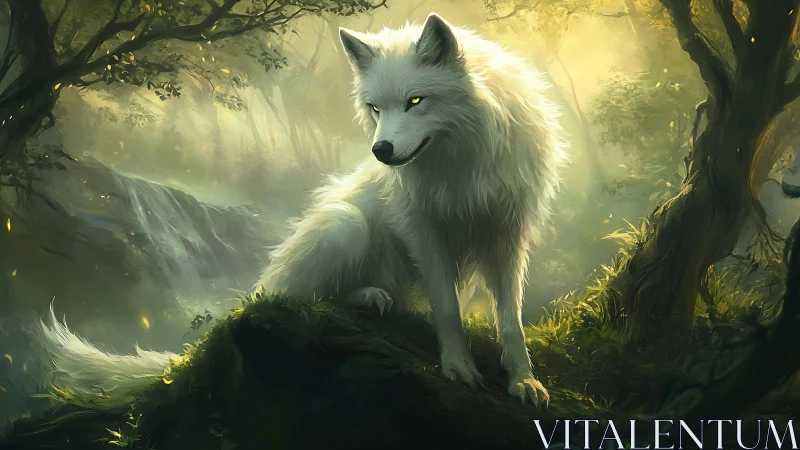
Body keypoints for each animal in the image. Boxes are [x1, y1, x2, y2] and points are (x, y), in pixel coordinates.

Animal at [258, 13, 568, 406]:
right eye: (375, 107)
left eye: (415, 100)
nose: (380, 151)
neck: (460, 160)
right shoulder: (423, 229)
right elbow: (448, 307)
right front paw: (458, 367)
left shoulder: (508, 232)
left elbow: (511, 317)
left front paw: (524, 380)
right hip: (346, 225)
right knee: (297, 296)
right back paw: (370, 297)